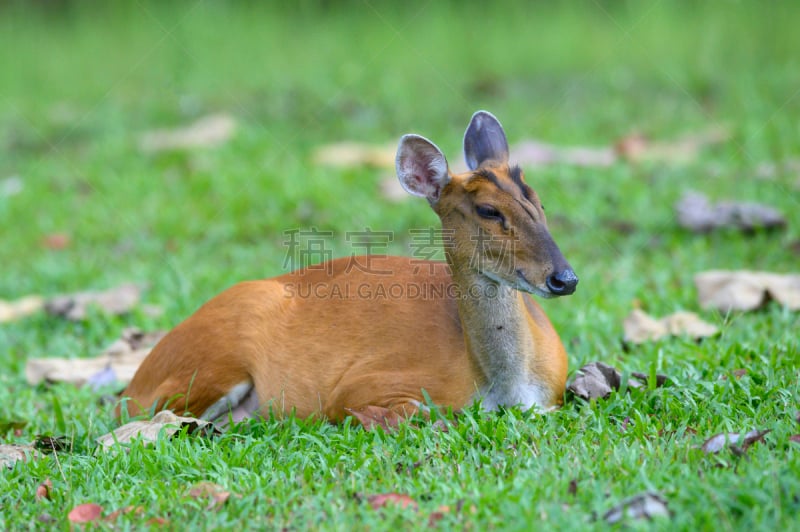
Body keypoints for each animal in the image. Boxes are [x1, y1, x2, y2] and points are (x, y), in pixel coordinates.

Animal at [119, 111, 580, 424]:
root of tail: (135, 382)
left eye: (538, 202)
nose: (565, 278)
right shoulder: (357, 388)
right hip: (208, 365)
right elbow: (416, 413)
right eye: (487, 210)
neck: (502, 387)